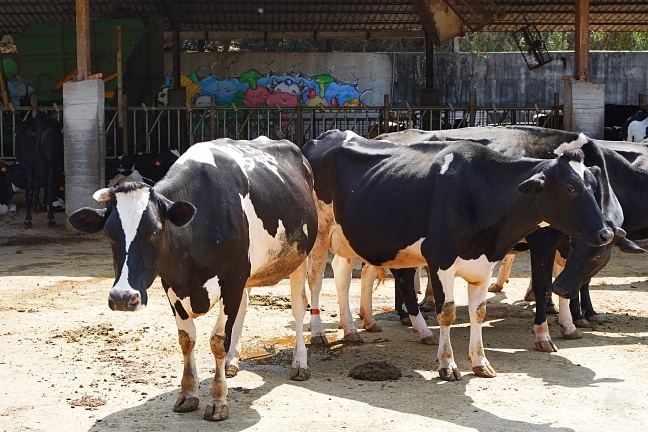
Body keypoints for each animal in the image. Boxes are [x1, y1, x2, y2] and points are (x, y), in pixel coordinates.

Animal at [68, 138, 316, 422]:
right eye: (109, 234)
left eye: (156, 231)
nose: (122, 298)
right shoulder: (172, 283)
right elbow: (187, 339)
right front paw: (188, 394)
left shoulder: (233, 278)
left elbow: (218, 340)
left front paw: (218, 400)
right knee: (243, 307)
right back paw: (232, 361)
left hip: (300, 257)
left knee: (298, 306)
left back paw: (299, 363)